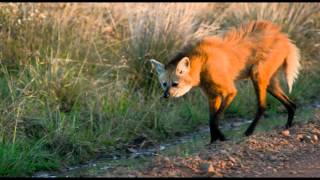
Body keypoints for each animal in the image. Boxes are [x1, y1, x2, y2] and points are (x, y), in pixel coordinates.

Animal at [150, 20, 300, 143]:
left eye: (175, 84)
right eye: (164, 84)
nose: (165, 95)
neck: (202, 64)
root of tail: (283, 36)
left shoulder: (229, 91)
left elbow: (215, 119)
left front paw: (222, 138)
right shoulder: (213, 96)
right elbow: (211, 120)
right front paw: (213, 141)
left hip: (256, 75)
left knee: (262, 106)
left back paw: (249, 132)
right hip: (269, 82)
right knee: (291, 104)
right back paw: (287, 126)